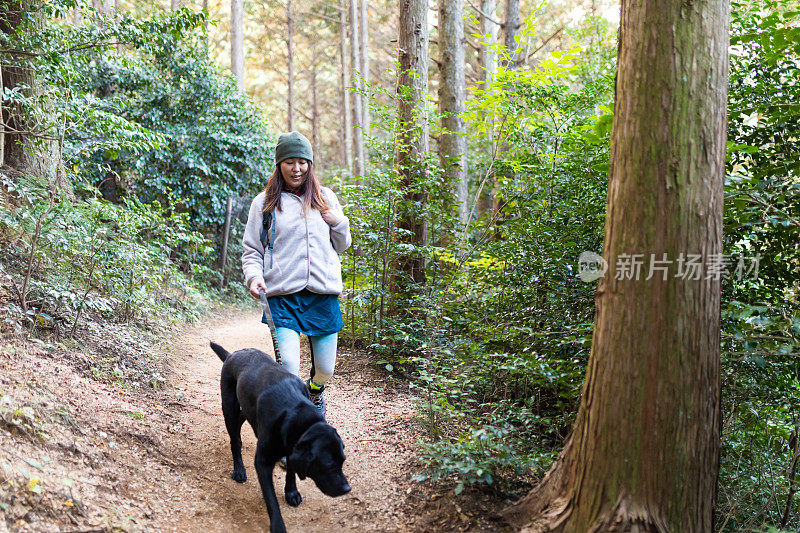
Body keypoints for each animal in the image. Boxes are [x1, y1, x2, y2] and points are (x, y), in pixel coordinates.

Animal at [209, 342, 350, 528]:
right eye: (328, 465)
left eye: (342, 461)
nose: (347, 489)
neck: (297, 414)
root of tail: (233, 354)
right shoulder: (262, 462)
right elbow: (271, 499)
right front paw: (278, 525)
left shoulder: (291, 447)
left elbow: (291, 471)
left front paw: (291, 492)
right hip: (229, 407)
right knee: (235, 440)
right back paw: (239, 469)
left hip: (246, 407)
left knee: (242, 418)